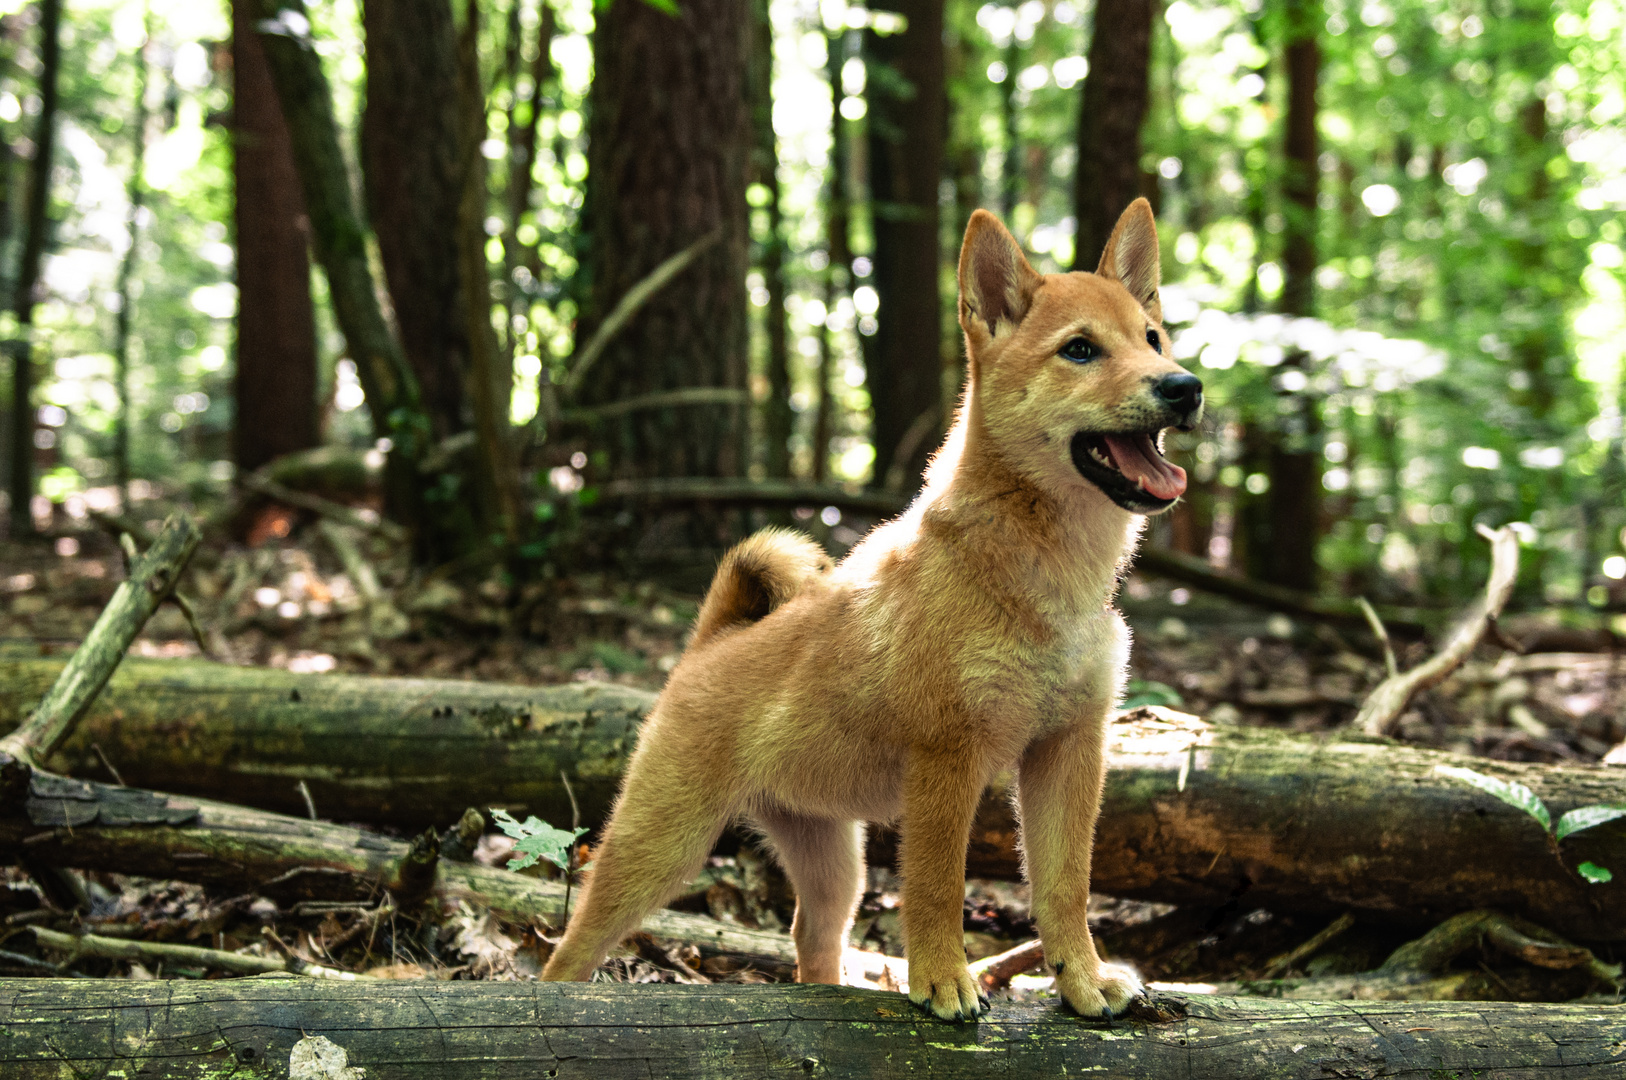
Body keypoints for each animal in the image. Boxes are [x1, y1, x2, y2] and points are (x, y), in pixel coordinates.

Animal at [546, 200, 1209, 1021]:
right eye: (1080, 350)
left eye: (1152, 339)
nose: (1185, 387)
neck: (1042, 576)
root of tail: (709, 644)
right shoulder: (946, 760)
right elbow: (937, 891)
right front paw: (942, 980)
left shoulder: (1069, 748)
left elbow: (1065, 887)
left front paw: (1082, 981)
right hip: (660, 847)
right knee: (570, 946)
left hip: (832, 858)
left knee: (809, 938)